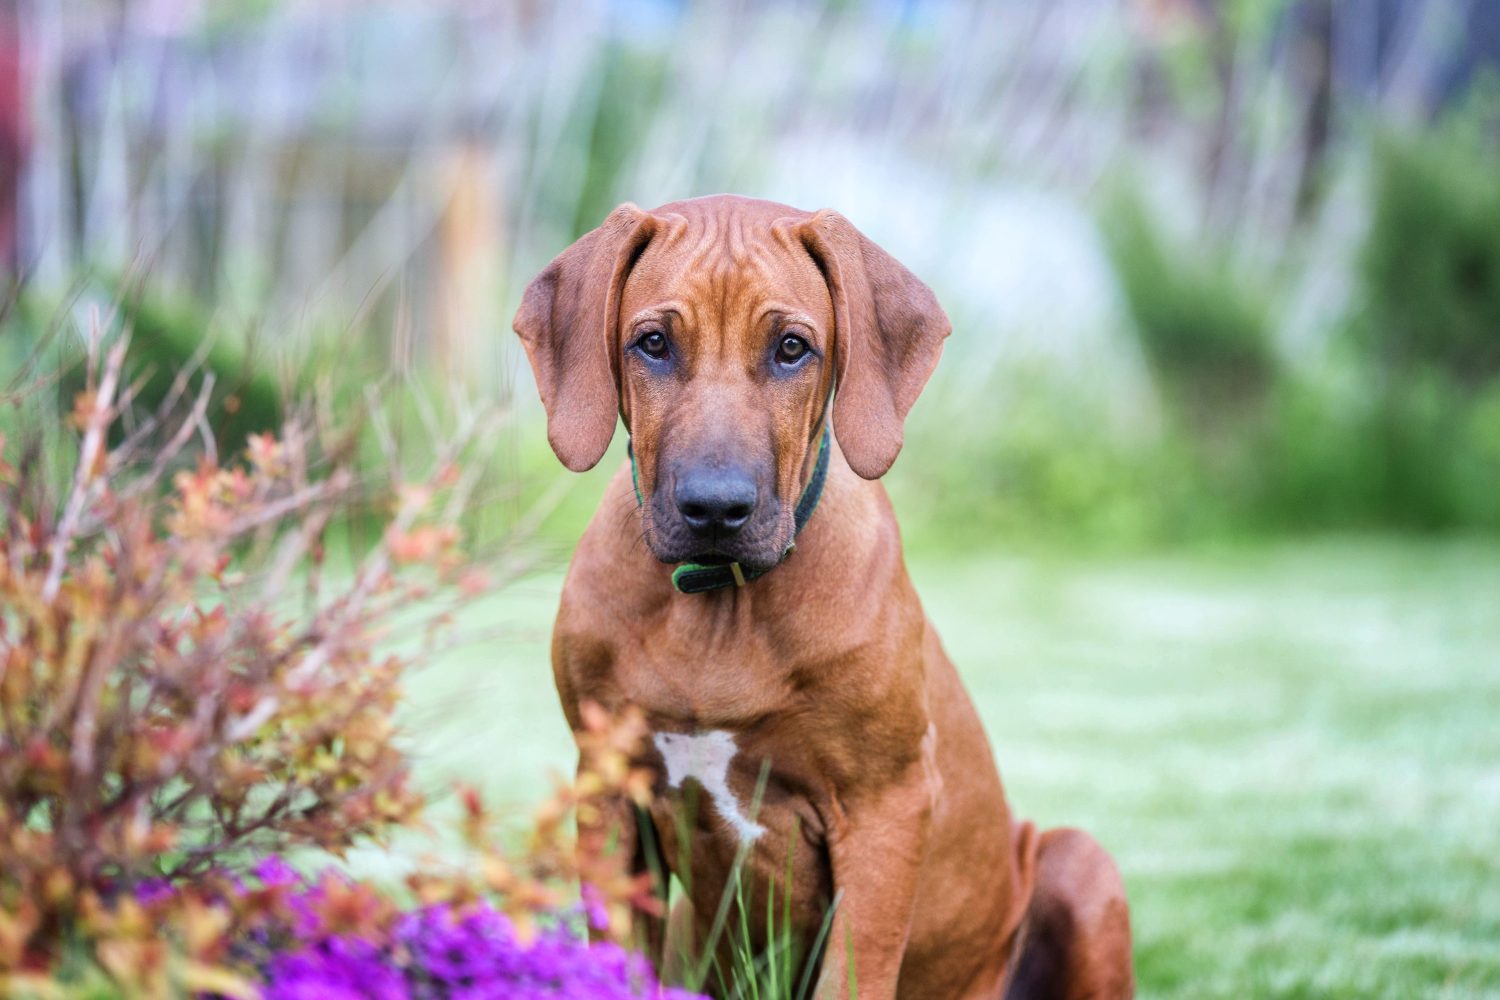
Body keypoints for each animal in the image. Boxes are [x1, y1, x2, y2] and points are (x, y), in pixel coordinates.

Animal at [510, 194, 1128, 1000]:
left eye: (792, 349)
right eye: (652, 344)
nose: (715, 509)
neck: (722, 606)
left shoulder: (886, 807)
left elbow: (852, 976)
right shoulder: (609, 791)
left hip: (1082, 862)